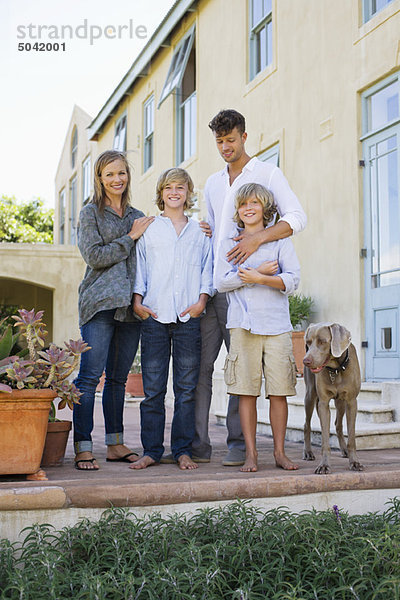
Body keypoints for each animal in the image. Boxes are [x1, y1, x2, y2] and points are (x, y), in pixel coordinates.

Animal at [304, 324, 362, 474]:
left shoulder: (352, 402)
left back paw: (344, 450)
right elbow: (325, 440)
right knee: (307, 424)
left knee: (338, 424)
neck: (335, 370)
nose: (306, 361)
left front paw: (355, 462)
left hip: (340, 402)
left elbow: (351, 438)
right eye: (308, 342)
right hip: (310, 394)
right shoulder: (323, 403)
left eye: (322, 341)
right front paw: (324, 465)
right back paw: (308, 452)